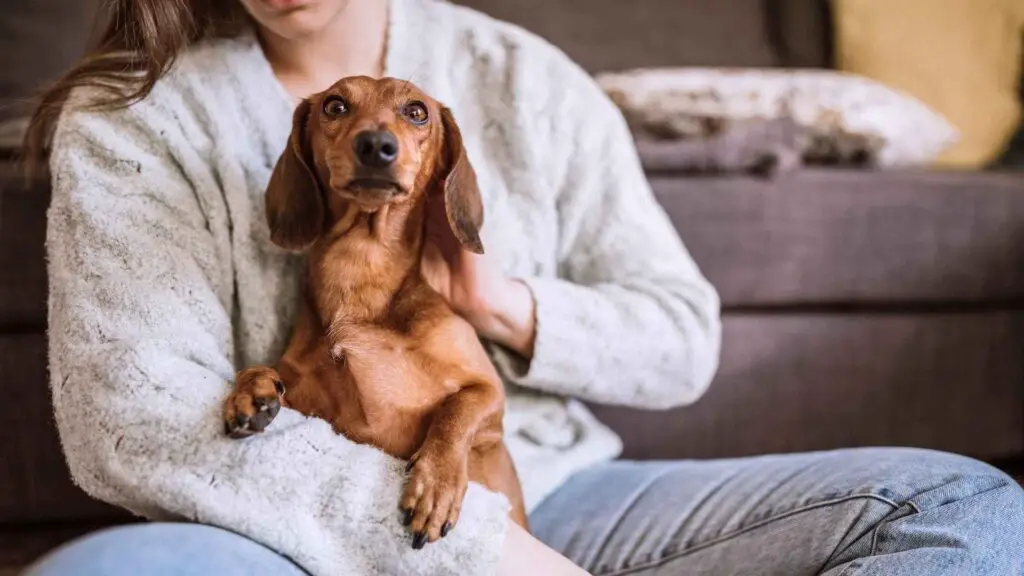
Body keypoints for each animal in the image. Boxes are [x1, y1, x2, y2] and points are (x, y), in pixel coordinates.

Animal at [223, 77, 528, 545]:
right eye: (335, 105)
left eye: (418, 112)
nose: (376, 145)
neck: (361, 268)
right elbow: (260, 368)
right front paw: (249, 392)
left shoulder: (488, 392)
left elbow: (456, 412)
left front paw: (436, 484)